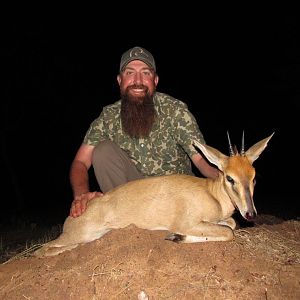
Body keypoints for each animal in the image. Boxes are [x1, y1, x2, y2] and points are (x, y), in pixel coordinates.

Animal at [33, 134, 274, 258]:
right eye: (229, 178)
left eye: (253, 177)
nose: (250, 214)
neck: (211, 193)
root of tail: (70, 218)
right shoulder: (186, 222)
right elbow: (228, 232)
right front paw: (175, 236)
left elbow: (231, 224)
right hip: (78, 235)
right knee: (43, 250)